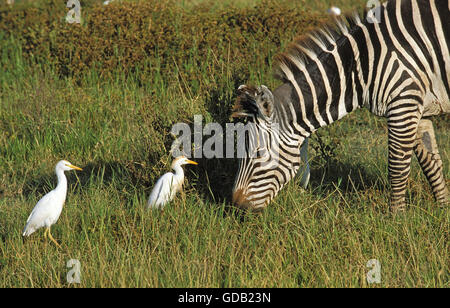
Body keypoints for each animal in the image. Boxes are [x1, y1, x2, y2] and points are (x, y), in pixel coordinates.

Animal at [230, 0, 448, 212]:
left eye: (259, 153)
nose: (236, 205)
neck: (361, 65)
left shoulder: (403, 101)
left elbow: (397, 167)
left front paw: (397, 218)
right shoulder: (419, 106)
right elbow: (431, 162)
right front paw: (443, 209)